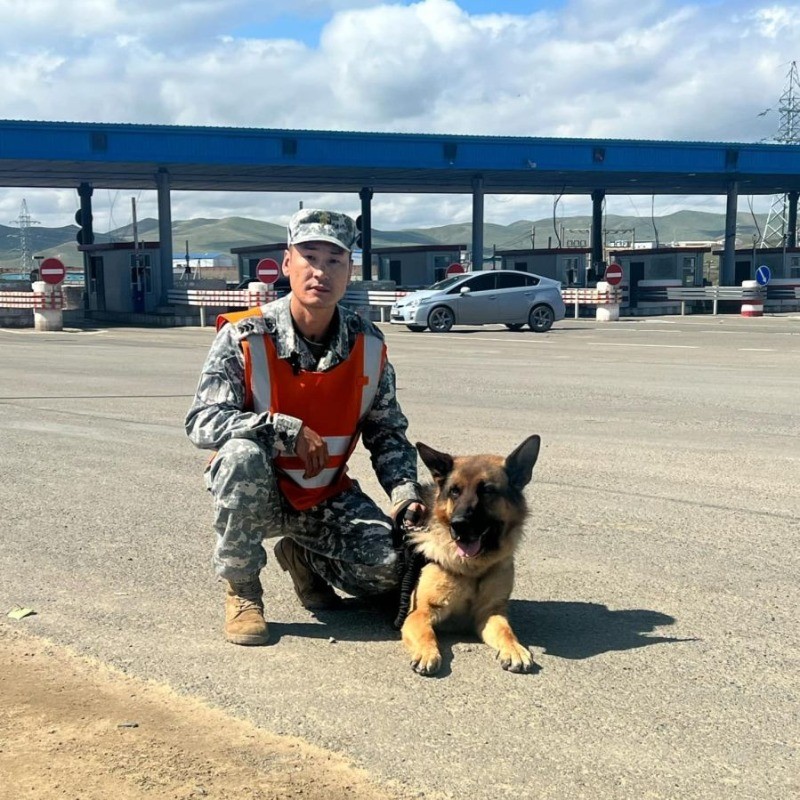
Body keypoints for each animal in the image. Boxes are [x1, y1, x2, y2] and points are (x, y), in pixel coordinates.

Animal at [404, 438, 540, 676]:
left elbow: (506, 631)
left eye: (487, 490)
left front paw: (515, 649)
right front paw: (427, 653)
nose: (458, 525)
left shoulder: (490, 614)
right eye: (454, 491)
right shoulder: (419, 613)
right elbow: (426, 633)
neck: (473, 568)